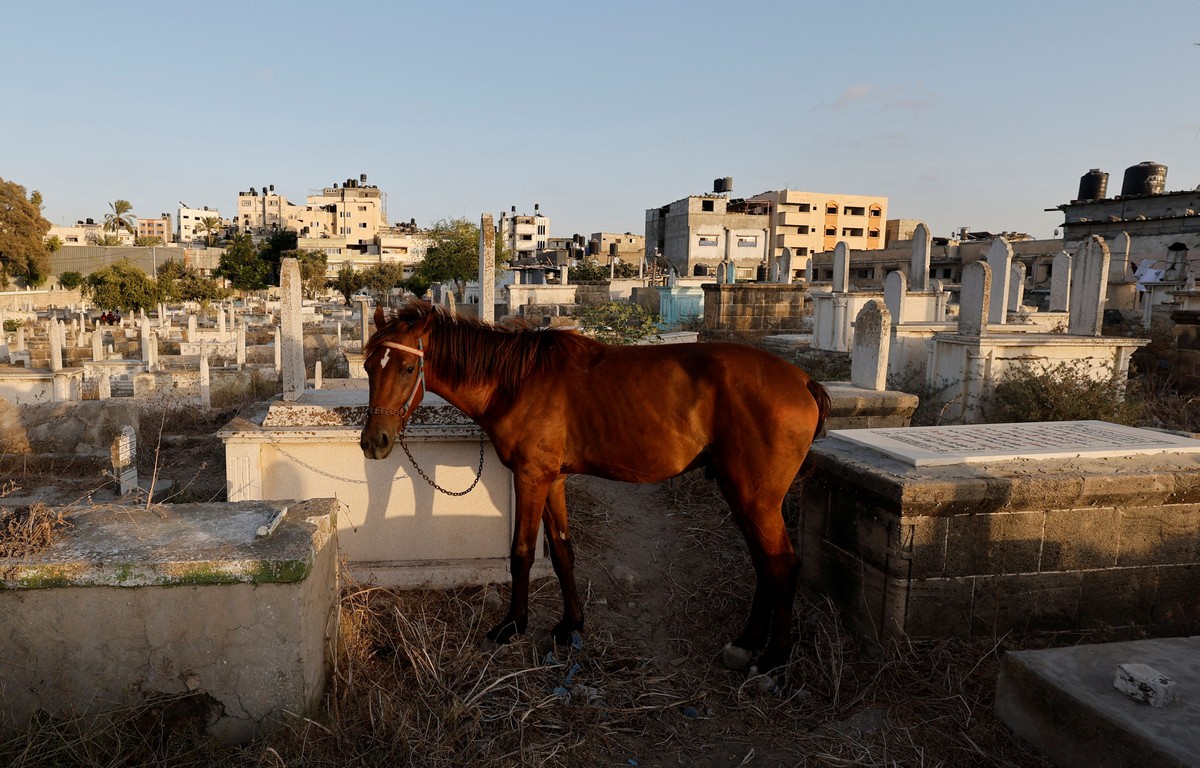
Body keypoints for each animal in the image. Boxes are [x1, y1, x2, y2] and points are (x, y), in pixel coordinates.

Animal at [360, 300, 830, 672]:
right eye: (368, 367)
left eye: (407, 367)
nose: (374, 441)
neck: (516, 382)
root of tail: (803, 381)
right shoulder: (552, 481)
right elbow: (563, 552)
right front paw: (570, 624)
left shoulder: (531, 478)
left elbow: (522, 554)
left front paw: (513, 625)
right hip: (743, 496)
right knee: (764, 563)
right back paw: (747, 642)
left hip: (757, 499)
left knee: (782, 565)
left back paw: (774, 658)